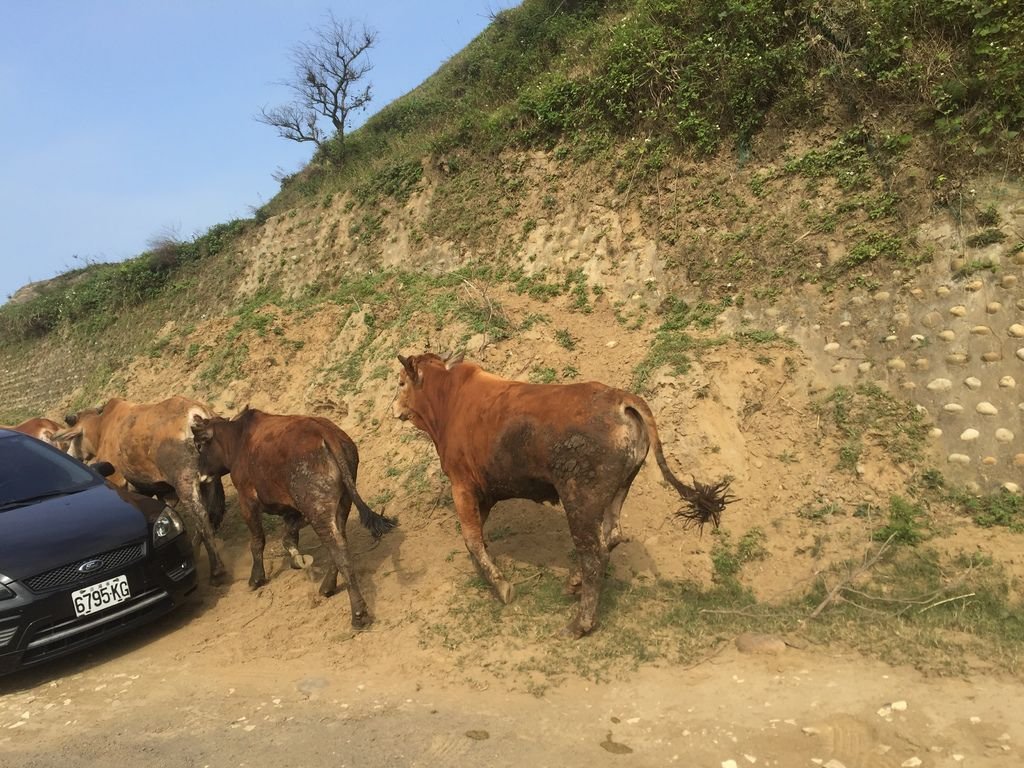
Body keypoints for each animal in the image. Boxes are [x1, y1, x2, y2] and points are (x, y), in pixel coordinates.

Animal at [56, 397, 228, 581]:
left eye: (74, 439)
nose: (70, 454)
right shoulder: (162, 491)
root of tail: (197, 413)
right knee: (211, 512)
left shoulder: (118, 481)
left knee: (202, 516)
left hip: (185, 482)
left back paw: (216, 570)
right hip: (208, 480)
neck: (102, 428)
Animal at [190, 409, 397, 630]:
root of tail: (325, 433)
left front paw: (256, 578)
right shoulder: (292, 509)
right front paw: (296, 559)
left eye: (200, 446)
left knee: (338, 550)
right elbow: (289, 535)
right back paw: (327, 587)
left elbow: (257, 541)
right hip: (341, 503)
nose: (200, 475)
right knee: (340, 542)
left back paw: (358, 614)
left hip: (318, 509)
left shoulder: (247, 501)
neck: (238, 440)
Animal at [393, 354, 737, 638]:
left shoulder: (462, 484)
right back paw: (574, 582)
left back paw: (579, 624)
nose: (393, 407)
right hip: (619, 488)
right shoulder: (484, 493)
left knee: (593, 553)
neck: (449, 400)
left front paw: (501, 587)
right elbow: (477, 535)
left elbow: (471, 538)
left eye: (400, 382)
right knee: (611, 535)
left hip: (579, 500)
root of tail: (619, 399)